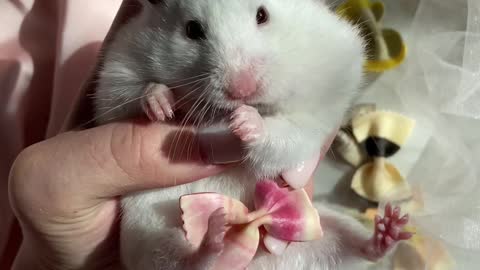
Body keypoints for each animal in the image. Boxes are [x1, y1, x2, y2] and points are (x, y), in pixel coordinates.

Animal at [94, 0, 412, 270]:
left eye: (263, 15)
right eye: (192, 30)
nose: (241, 90)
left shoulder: (317, 104)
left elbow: (287, 134)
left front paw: (244, 122)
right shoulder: (118, 67)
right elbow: (132, 92)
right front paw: (162, 105)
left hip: (328, 230)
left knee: (358, 247)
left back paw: (390, 229)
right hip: (150, 241)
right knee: (187, 262)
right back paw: (214, 237)